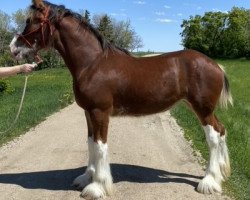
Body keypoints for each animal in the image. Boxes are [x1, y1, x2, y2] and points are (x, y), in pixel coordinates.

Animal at [9, 0, 232, 199]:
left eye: (32, 20)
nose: (13, 48)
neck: (92, 64)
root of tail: (215, 65)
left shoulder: (99, 112)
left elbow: (100, 146)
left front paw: (96, 187)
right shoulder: (88, 112)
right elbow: (90, 143)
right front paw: (86, 178)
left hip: (202, 109)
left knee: (213, 136)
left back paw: (208, 182)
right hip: (203, 109)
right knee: (221, 130)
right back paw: (221, 173)